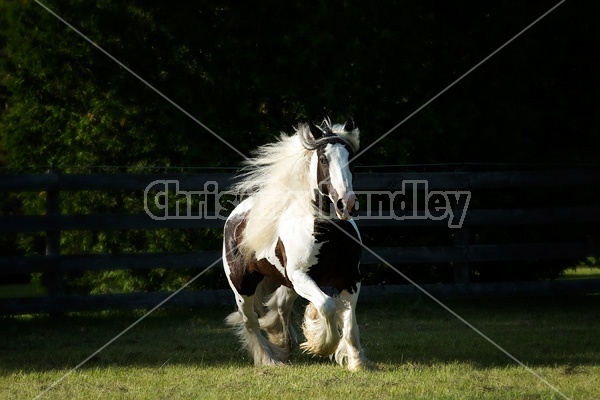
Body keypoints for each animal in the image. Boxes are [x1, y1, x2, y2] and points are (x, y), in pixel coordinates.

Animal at [223, 117, 368, 370]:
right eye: (323, 159)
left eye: (350, 157)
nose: (346, 204)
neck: (328, 232)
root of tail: (236, 216)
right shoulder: (301, 276)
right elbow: (327, 305)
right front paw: (323, 344)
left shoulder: (351, 278)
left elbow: (350, 326)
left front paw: (357, 363)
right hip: (243, 286)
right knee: (251, 323)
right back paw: (269, 360)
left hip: (286, 282)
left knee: (280, 305)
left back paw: (284, 343)